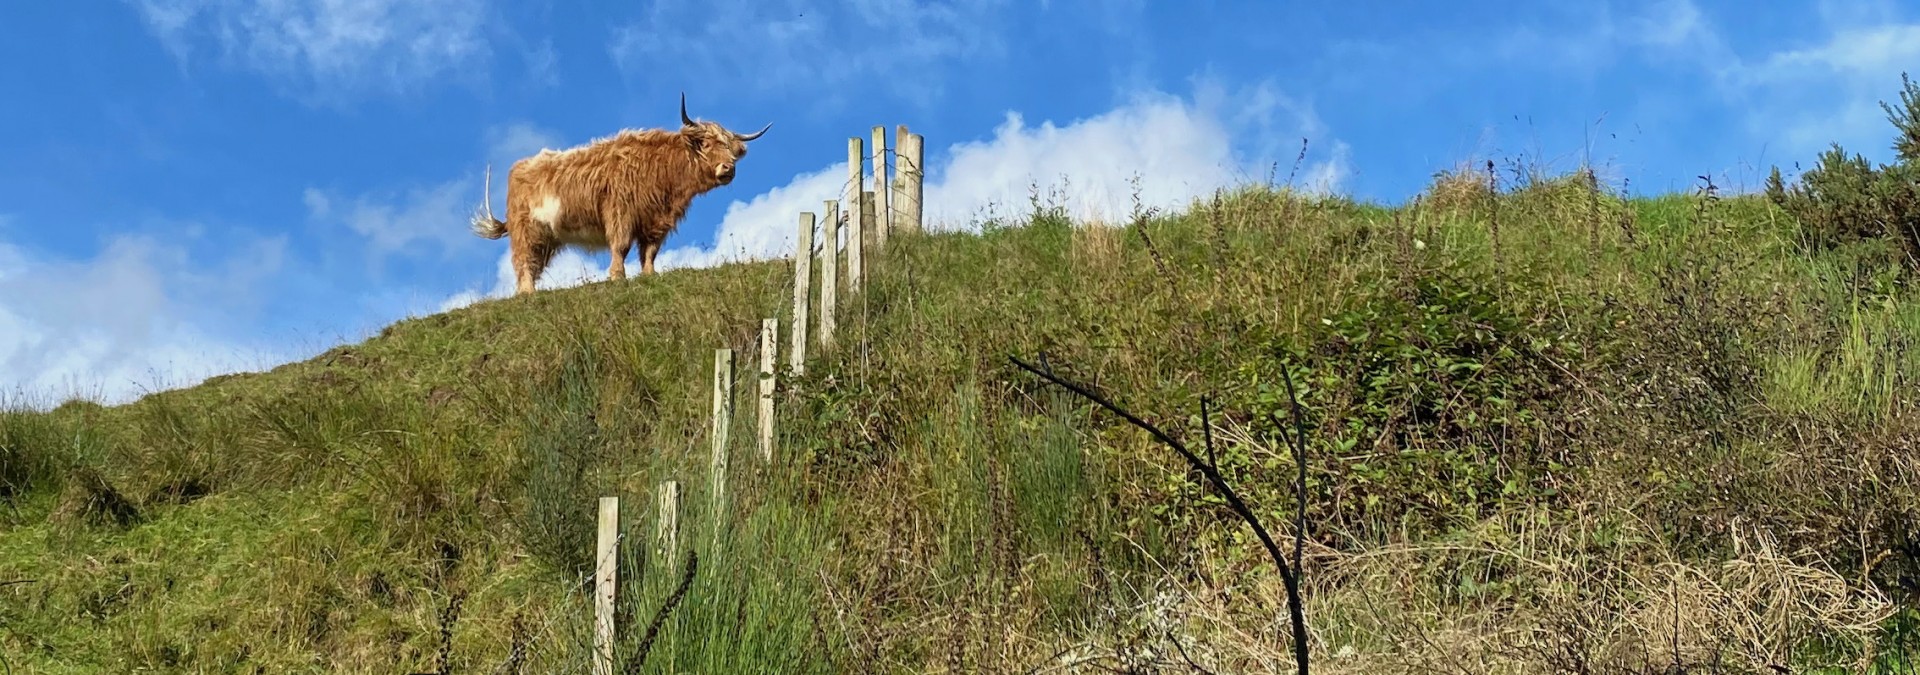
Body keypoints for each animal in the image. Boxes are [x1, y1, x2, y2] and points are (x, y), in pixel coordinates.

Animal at [468, 93, 768, 293]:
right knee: (524, 262)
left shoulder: (655, 221)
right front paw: (617, 276)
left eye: (731, 149)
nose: (728, 168)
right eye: (705, 143)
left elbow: (650, 252)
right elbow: (621, 246)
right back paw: (528, 293)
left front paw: (649, 275)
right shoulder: (620, 212)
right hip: (526, 231)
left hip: (547, 236)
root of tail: (520, 166)